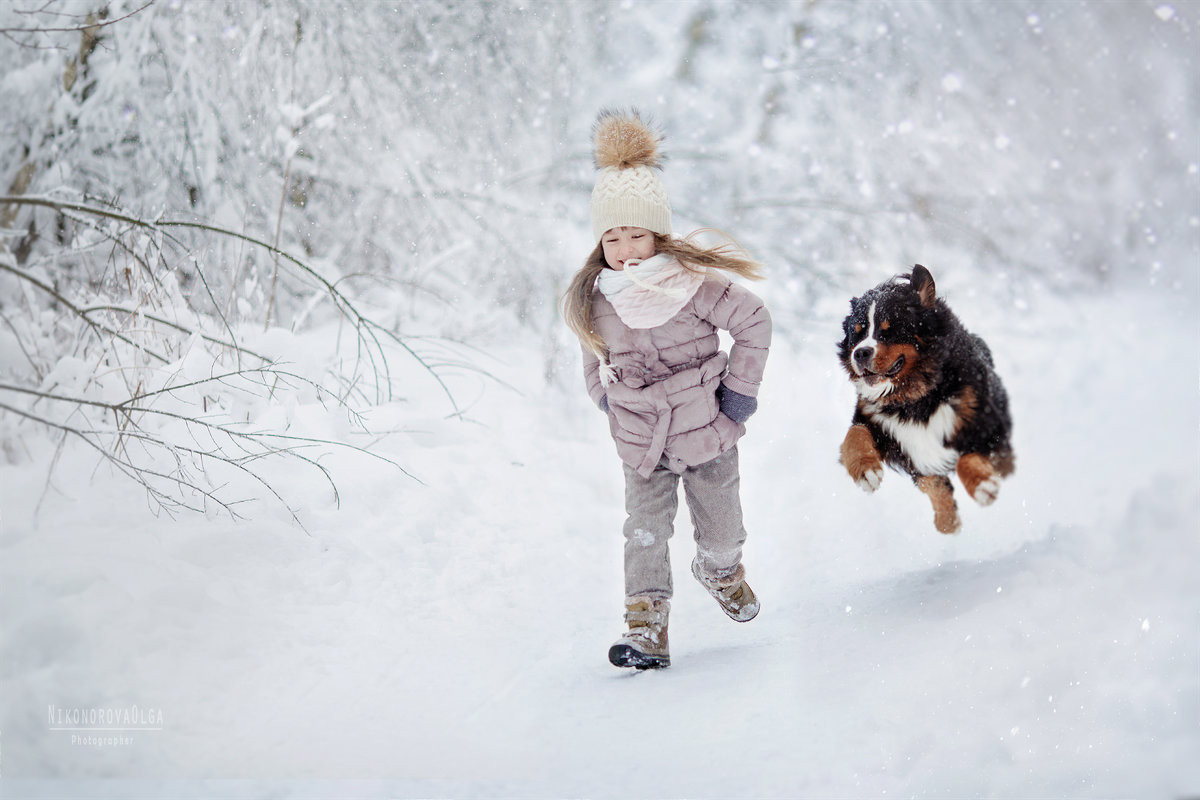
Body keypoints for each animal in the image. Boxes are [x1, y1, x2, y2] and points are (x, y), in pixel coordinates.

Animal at [840, 266, 1017, 534]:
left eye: (888, 330)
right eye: (856, 333)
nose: (860, 353)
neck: (914, 400)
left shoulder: (987, 425)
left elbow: (967, 458)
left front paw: (982, 486)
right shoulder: (882, 425)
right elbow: (855, 435)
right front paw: (865, 470)